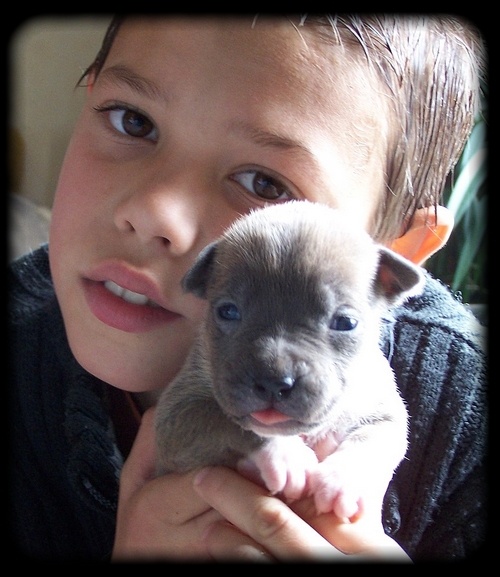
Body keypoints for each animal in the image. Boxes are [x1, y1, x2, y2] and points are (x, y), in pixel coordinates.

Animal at [155, 200, 424, 519]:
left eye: (346, 322)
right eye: (228, 312)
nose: (273, 383)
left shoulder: (386, 413)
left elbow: (372, 440)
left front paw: (341, 480)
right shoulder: (174, 420)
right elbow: (228, 421)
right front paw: (286, 454)